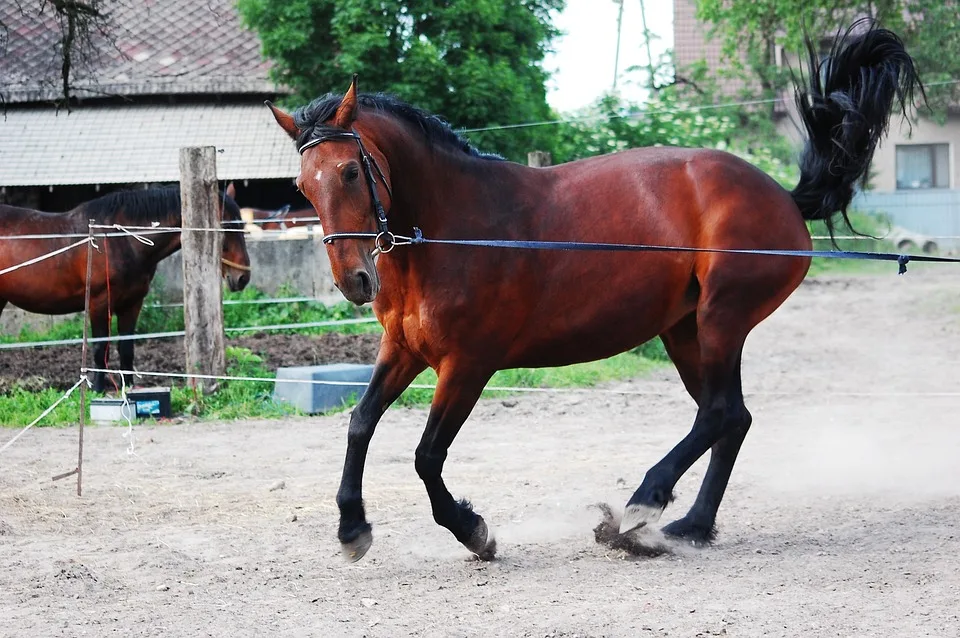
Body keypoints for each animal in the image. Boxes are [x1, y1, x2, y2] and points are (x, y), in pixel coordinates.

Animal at [0, 182, 251, 392]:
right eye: (225, 227)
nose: (243, 277)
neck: (120, 239)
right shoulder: (99, 303)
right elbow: (100, 349)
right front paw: (97, 389)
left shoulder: (132, 304)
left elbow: (126, 348)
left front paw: (128, 386)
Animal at [268, 22, 924, 564]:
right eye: (302, 186)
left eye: (351, 171)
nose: (354, 280)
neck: (452, 229)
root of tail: (783, 198)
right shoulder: (402, 349)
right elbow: (359, 423)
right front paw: (352, 529)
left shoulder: (468, 363)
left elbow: (427, 455)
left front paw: (475, 532)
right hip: (685, 331)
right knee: (731, 417)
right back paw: (689, 526)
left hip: (722, 319)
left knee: (717, 414)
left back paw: (637, 511)